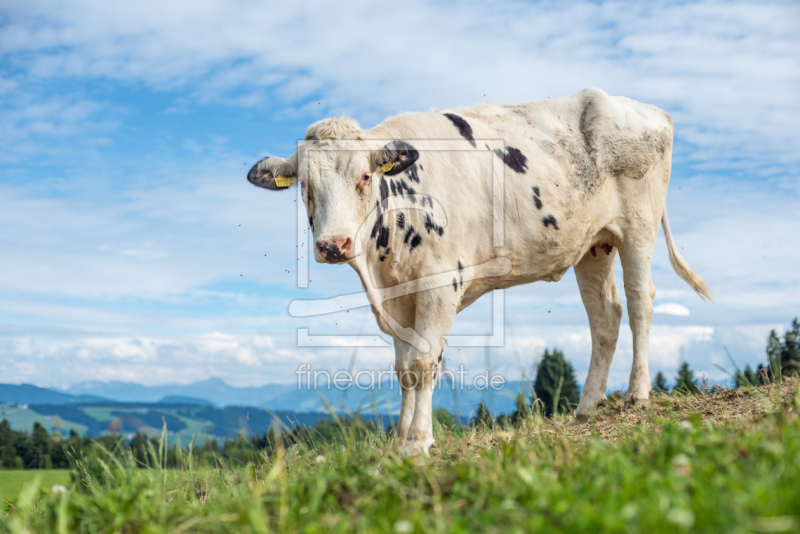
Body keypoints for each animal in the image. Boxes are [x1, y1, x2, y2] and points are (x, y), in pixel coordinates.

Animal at [247, 88, 708, 456]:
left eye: (363, 176)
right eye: (305, 186)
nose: (333, 245)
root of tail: (645, 108)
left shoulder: (439, 283)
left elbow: (423, 362)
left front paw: (418, 443)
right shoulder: (398, 298)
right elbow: (404, 369)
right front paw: (402, 441)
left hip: (638, 226)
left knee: (640, 300)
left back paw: (637, 395)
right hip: (596, 243)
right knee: (606, 315)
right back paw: (586, 407)